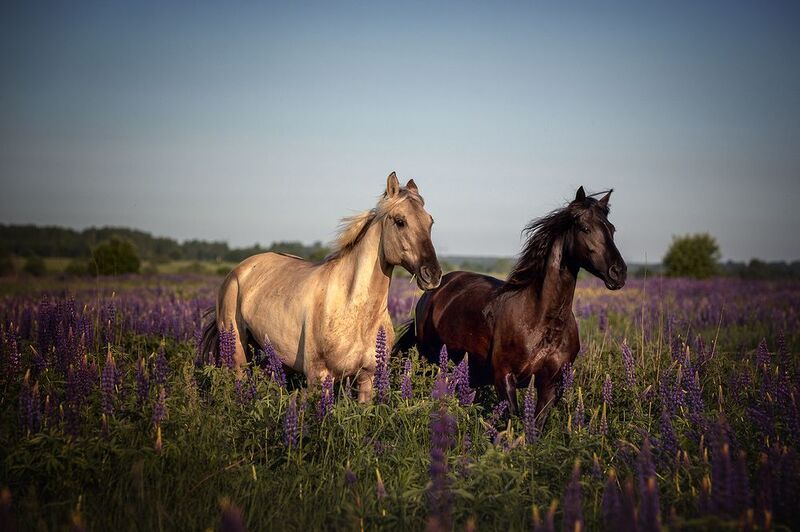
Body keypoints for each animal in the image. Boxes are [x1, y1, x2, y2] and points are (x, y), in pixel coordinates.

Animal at [201, 172, 442, 402]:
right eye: (400, 221)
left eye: (430, 222)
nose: (433, 274)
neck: (353, 308)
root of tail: (238, 271)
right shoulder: (320, 377)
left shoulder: (368, 378)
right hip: (237, 354)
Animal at [401, 186, 626, 427]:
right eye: (585, 228)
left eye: (612, 229)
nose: (618, 272)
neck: (543, 321)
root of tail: (434, 290)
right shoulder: (505, 377)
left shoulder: (551, 385)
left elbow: (534, 427)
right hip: (430, 362)